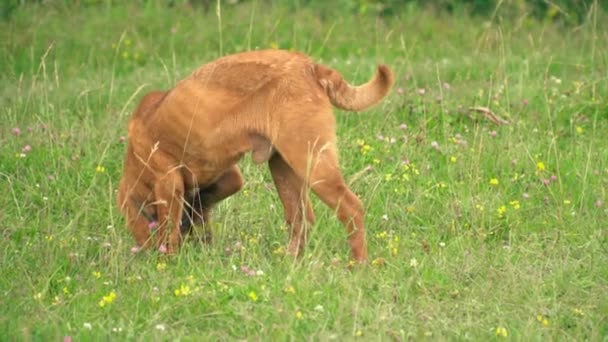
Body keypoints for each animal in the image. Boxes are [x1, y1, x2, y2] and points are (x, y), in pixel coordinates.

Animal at [117, 48, 394, 262]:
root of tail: (310, 66)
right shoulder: (229, 178)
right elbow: (199, 204)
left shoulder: (169, 182)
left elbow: (170, 233)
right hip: (283, 170)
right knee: (301, 220)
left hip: (312, 165)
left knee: (351, 208)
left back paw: (358, 265)